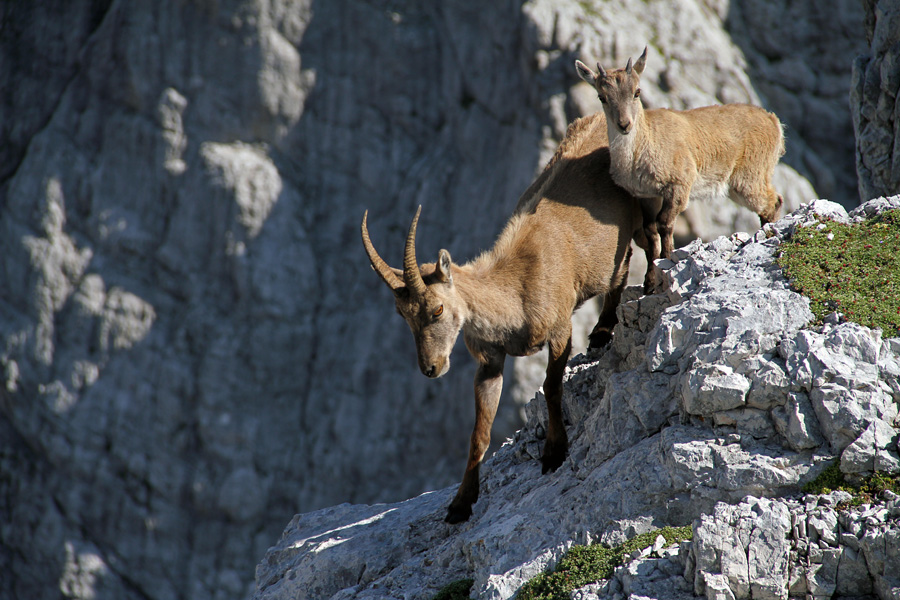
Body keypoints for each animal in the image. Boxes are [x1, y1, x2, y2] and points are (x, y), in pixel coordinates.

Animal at [361, 113, 651, 523]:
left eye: (437, 308)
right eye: (402, 315)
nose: (431, 368)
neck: (514, 292)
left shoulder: (560, 329)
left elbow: (551, 386)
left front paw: (554, 452)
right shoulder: (490, 360)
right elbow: (479, 432)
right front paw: (461, 502)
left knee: (636, 257)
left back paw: (606, 327)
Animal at [576, 48, 785, 289]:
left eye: (637, 92)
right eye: (602, 97)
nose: (624, 125)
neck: (644, 146)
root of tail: (773, 122)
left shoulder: (678, 185)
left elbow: (665, 223)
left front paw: (667, 264)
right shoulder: (646, 194)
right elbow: (650, 232)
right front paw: (649, 282)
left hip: (749, 176)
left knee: (773, 201)